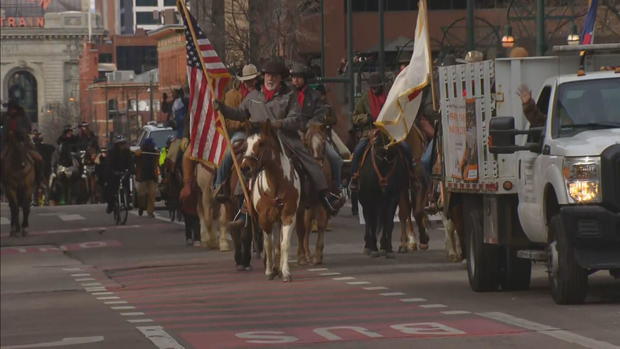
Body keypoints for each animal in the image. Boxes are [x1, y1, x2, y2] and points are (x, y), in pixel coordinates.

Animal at [240, 121, 300, 282]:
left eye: (261, 143)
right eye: (245, 145)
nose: (245, 168)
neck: (277, 185)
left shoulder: (288, 216)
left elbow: (284, 244)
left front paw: (285, 272)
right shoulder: (264, 219)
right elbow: (268, 244)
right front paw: (269, 271)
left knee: (278, 243)